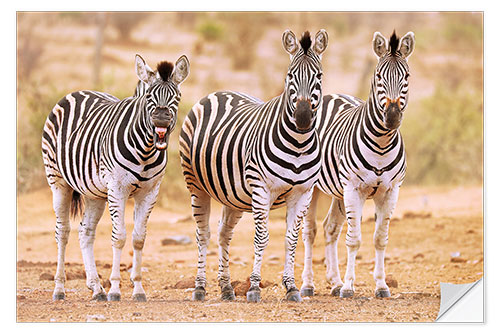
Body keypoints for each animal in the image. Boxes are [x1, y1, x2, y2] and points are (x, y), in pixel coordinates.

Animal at [40, 53, 189, 300]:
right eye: (149, 96)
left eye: (176, 97)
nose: (161, 119)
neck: (146, 150)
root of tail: (77, 91)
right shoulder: (118, 188)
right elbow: (118, 237)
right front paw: (116, 289)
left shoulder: (150, 191)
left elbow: (139, 239)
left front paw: (138, 289)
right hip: (58, 181)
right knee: (63, 232)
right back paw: (60, 289)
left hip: (94, 193)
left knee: (85, 232)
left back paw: (96, 287)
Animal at [180, 29, 328, 302]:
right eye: (289, 76)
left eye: (319, 76)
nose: (302, 118)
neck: (299, 143)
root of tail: (217, 92)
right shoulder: (261, 188)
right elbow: (261, 238)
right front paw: (254, 287)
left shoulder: (303, 192)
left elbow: (291, 240)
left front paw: (291, 287)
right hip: (196, 184)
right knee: (202, 234)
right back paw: (200, 288)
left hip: (233, 196)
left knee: (224, 234)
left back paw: (227, 288)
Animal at [300, 29, 414, 296]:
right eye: (379, 76)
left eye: (406, 76)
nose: (392, 117)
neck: (382, 144)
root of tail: (330, 95)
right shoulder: (354, 189)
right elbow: (354, 240)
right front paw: (349, 287)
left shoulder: (391, 191)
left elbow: (380, 238)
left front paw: (381, 285)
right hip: (315, 188)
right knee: (310, 231)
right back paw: (308, 285)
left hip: (338, 192)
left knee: (330, 228)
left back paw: (334, 281)